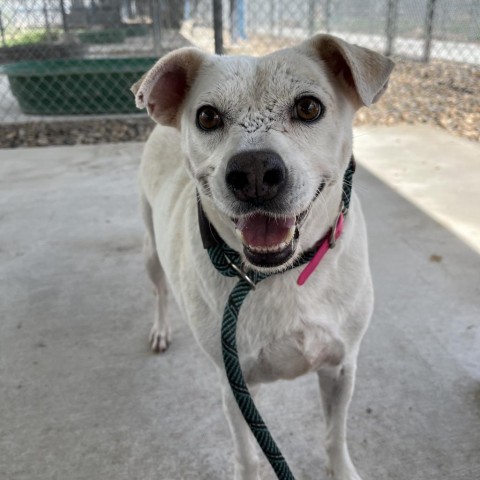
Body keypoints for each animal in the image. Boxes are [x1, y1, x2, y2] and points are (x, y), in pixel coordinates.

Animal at [132, 34, 394, 480]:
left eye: (309, 107)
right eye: (207, 117)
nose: (253, 172)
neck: (281, 274)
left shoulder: (341, 369)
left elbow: (335, 437)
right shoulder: (236, 388)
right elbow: (248, 455)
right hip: (151, 252)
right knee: (160, 292)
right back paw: (162, 329)